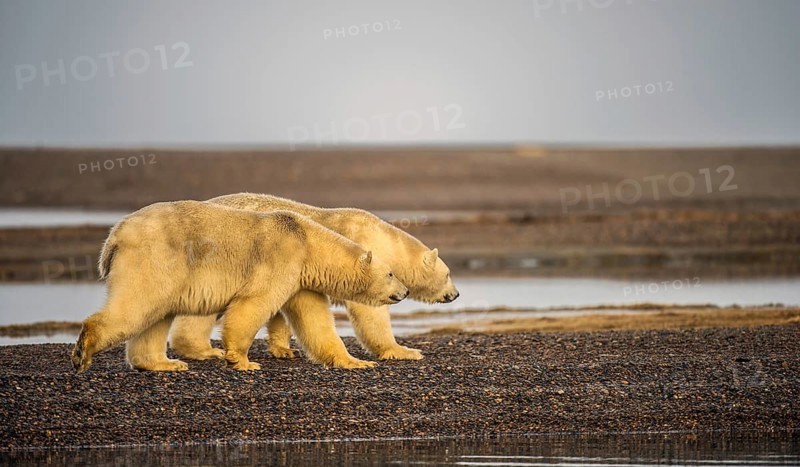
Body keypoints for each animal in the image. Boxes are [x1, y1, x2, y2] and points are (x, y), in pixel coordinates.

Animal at [70, 200, 408, 372]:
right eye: (392, 273)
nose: (404, 292)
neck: (306, 239)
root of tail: (115, 235)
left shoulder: (300, 277)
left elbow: (314, 319)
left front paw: (356, 361)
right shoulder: (281, 257)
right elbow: (253, 303)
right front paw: (242, 360)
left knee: (156, 315)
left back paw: (165, 364)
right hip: (154, 258)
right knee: (138, 305)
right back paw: (83, 351)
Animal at [165, 193, 459, 369]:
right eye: (448, 274)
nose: (455, 294)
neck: (384, 240)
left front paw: (283, 349)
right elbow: (370, 314)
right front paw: (404, 350)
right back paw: (201, 349)